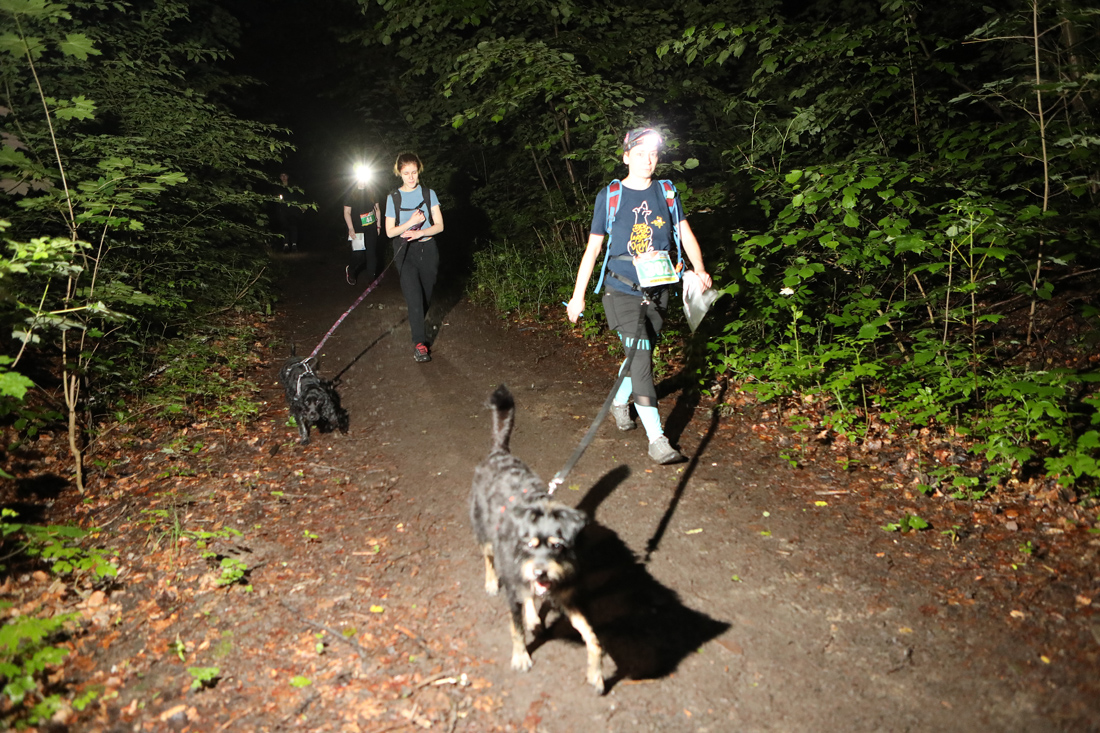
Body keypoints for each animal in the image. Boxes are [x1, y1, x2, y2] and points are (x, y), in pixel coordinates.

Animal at [469, 385, 605, 693]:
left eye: (557, 545)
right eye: (529, 545)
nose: (541, 571)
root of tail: (499, 452)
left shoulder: (566, 594)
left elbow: (592, 637)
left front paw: (596, 672)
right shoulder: (514, 592)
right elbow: (516, 629)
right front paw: (521, 656)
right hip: (484, 535)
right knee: (488, 558)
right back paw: (491, 582)